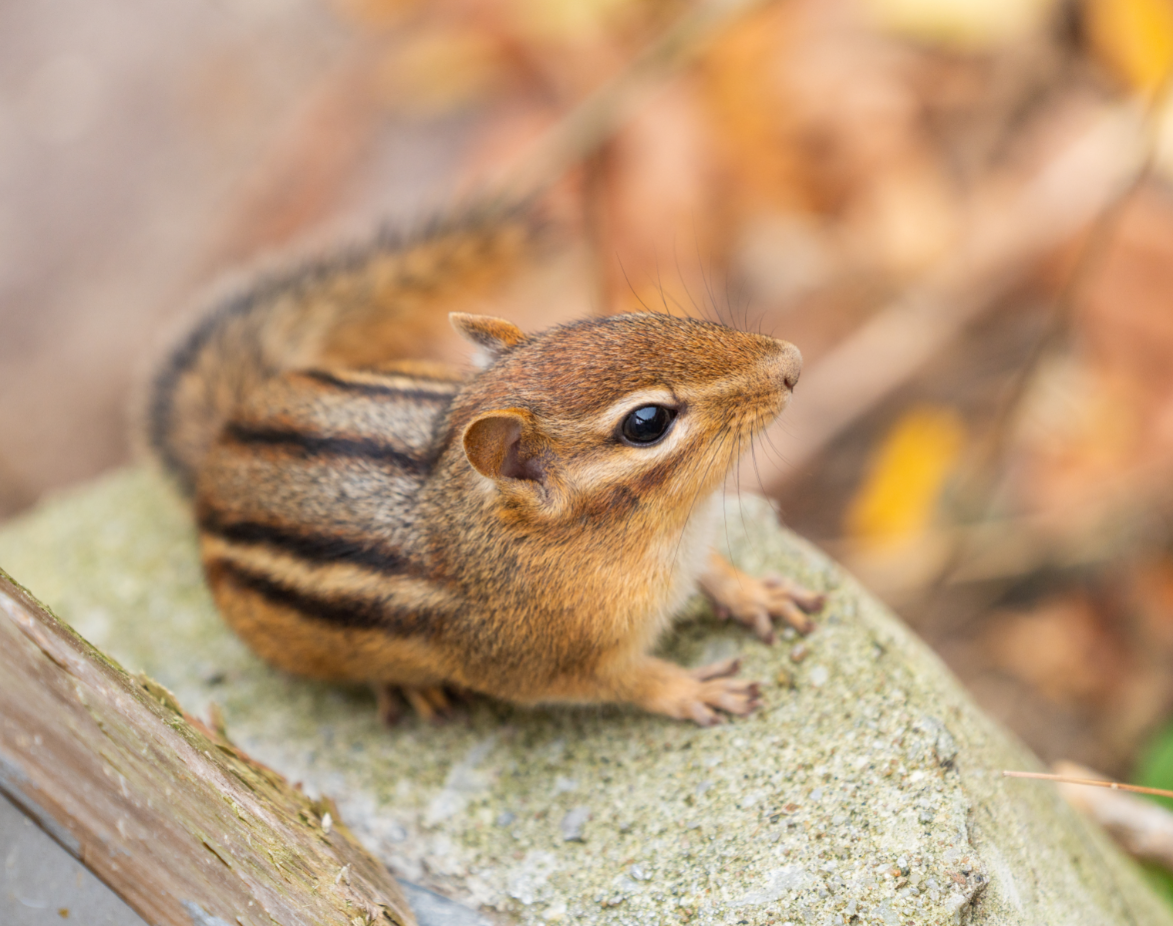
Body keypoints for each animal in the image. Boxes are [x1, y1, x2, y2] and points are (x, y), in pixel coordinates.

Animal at [145, 205, 825, 726]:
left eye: (629, 320)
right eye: (647, 422)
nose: (792, 361)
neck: (658, 530)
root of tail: (224, 440)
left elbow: (713, 569)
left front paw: (755, 593)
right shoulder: (548, 664)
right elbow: (630, 682)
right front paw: (691, 690)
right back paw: (408, 685)